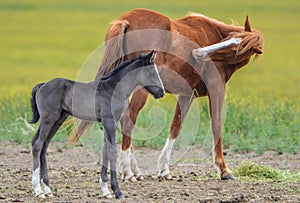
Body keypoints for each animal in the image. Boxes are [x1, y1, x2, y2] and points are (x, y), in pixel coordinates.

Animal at [28, 50, 164, 199]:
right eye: (152, 72)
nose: (161, 92)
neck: (114, 90)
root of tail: (42, 85)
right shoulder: (110, 121)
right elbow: (112, 151)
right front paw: (117, 191)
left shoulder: (107, 123)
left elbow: (105, 150)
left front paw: (105, 190)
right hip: (48, 119)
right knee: (37, 144)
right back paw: (38, 190)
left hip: (58, 119)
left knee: (44, 145)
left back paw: (47, 189)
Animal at [69, 7, 264, 182]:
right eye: (229, 41)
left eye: (236, 48)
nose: (197, 53)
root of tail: (126, 20)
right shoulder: (217, 90)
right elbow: (217, 126)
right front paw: (224, 169)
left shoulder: (187, 95)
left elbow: (175, 127)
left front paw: (164, 169)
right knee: (128, 120)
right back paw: (129, 172)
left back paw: (135, 171)